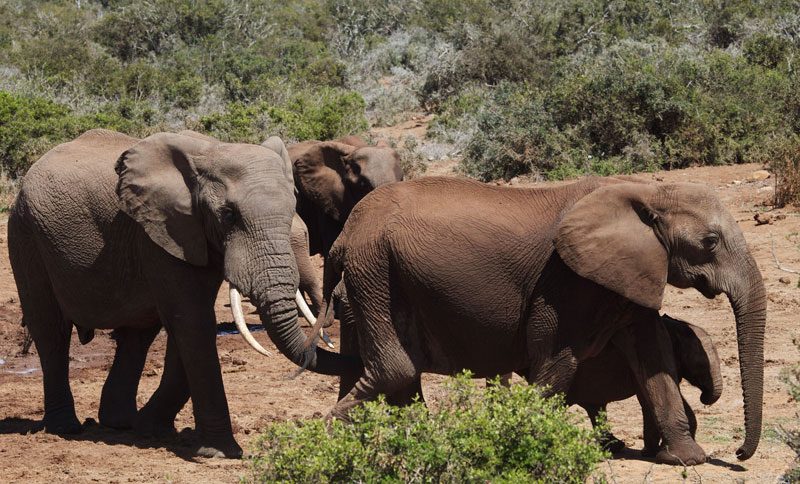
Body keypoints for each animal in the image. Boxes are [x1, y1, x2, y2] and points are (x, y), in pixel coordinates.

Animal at [8, 129, 355, 458]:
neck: (213, 151)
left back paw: (121, 423)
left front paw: (153, 429)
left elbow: (185, 327)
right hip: (26, 233)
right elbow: (193, 322)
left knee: (137, 335)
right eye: (229, 215)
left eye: (292, 210)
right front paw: (221, 452)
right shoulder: (160, 233)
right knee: (50, 328)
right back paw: (65, 428)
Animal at [567, 314, 722, 454]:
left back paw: (615, 447)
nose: (703, 398)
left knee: (595, 408)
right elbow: (647, 400)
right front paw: (650, 452)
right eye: (701, 365)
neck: (674, 326)